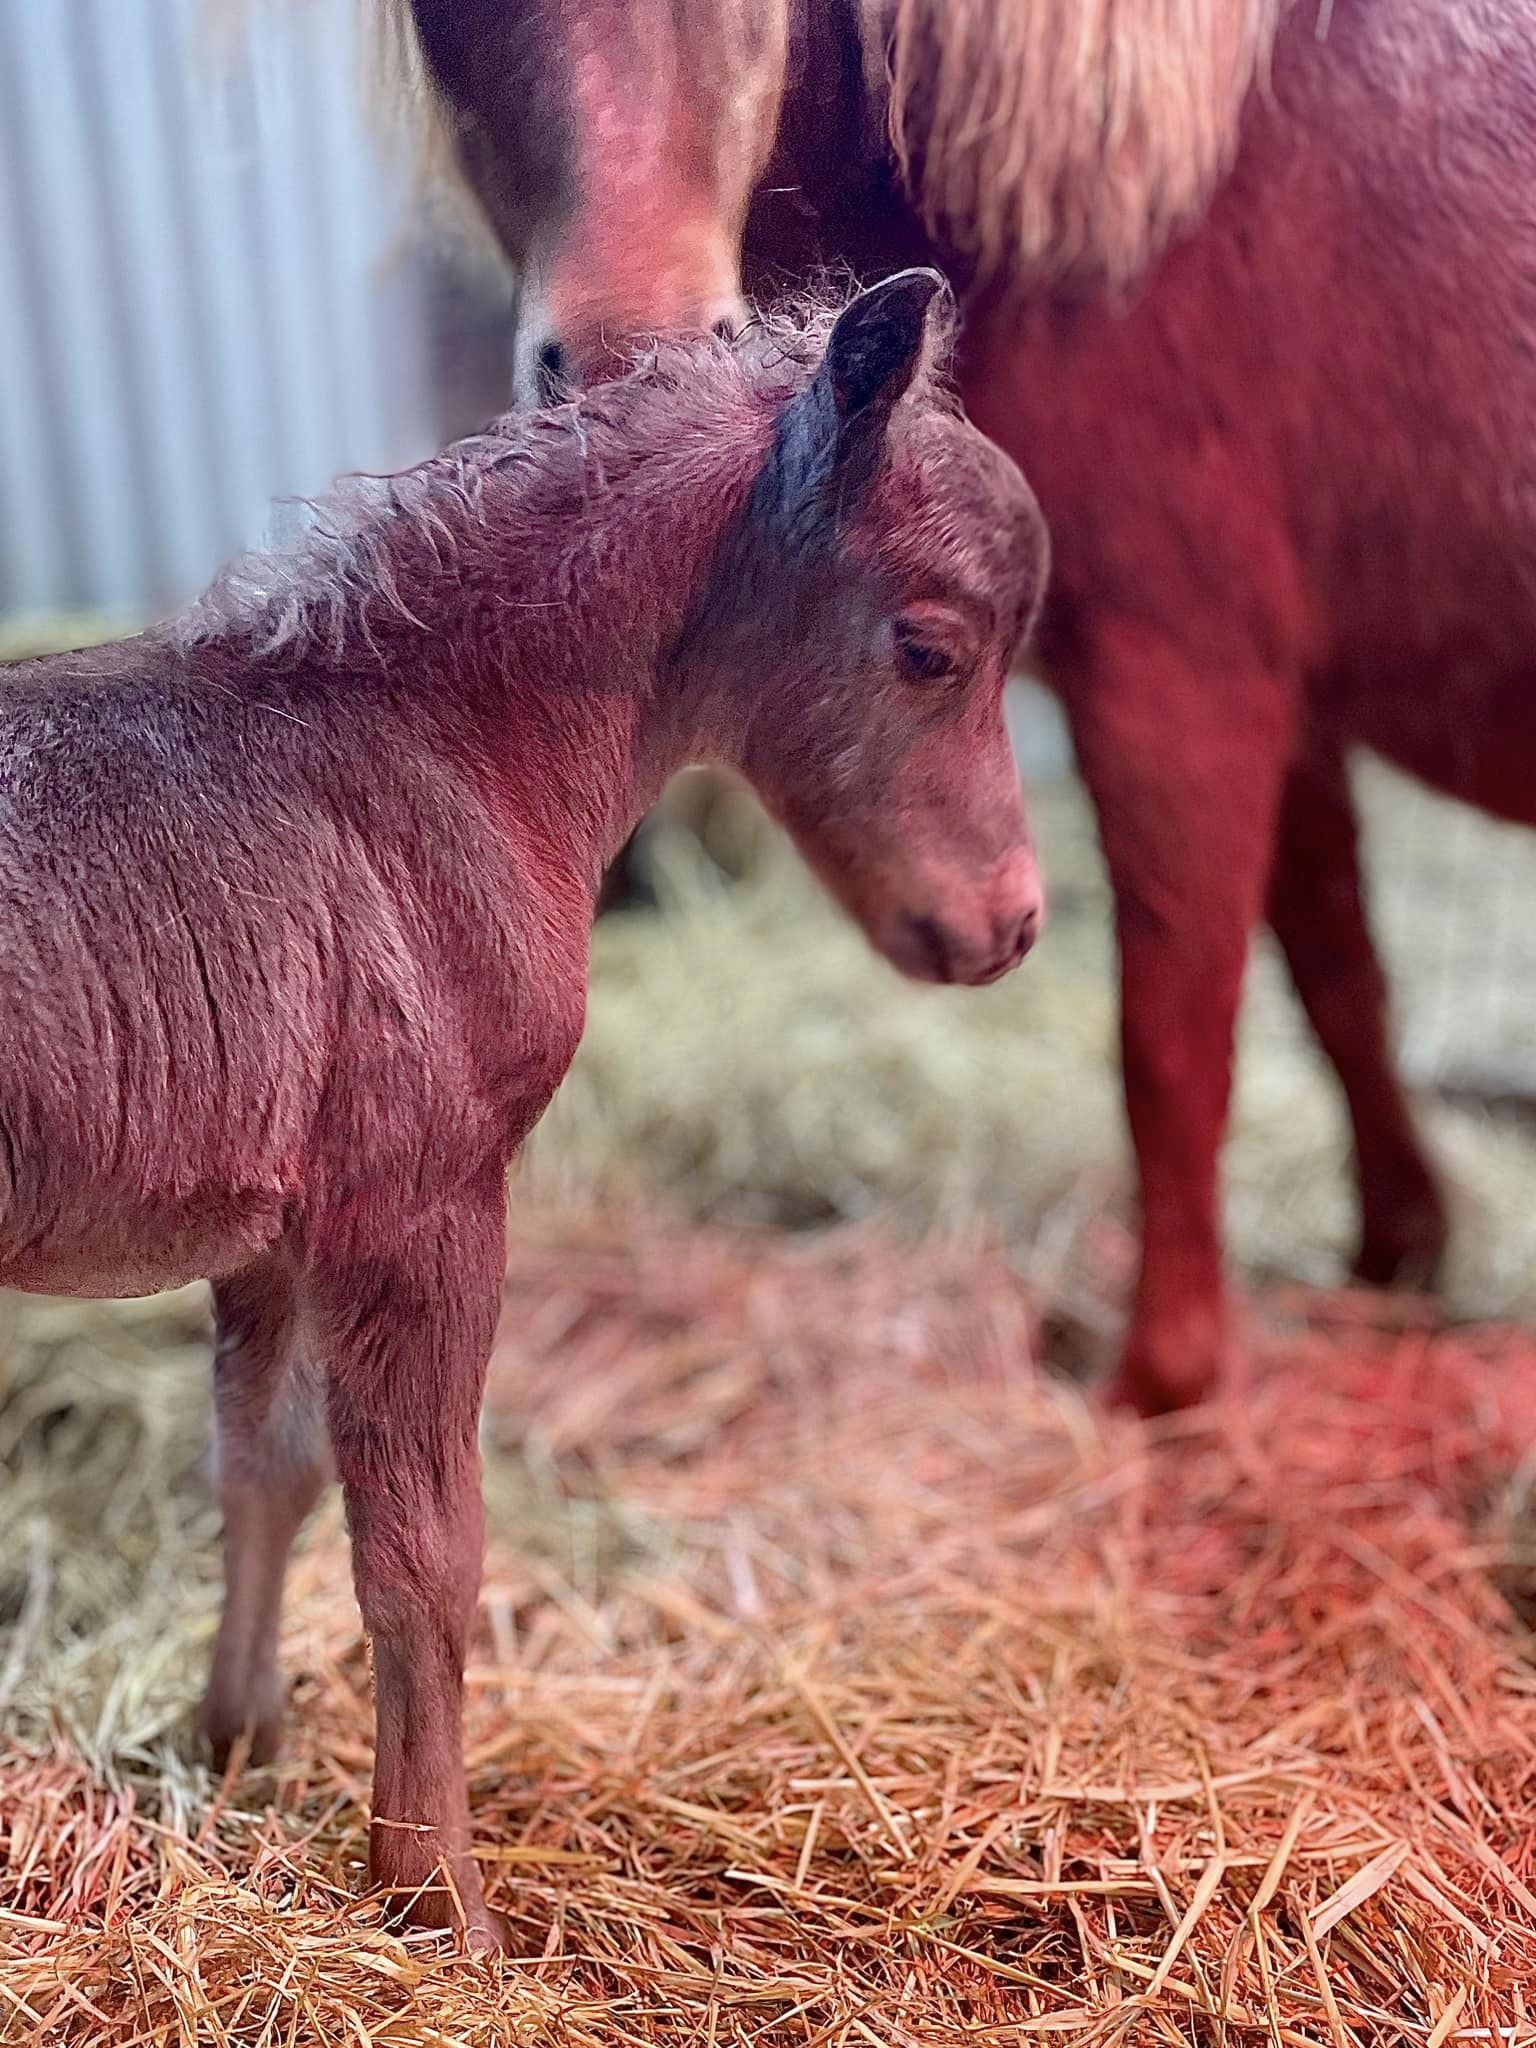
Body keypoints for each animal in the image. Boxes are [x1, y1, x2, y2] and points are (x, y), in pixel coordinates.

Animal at [0, 276, 1047, 1948]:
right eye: (930, 648)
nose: (1008, 924)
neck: (436, 758)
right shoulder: (421, 1208)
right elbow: (424, 1551)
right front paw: (439, 1899)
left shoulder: (279, 1230)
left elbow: (265, 1472)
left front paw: (239, 1746)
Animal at [381, 0, 1536, 1415]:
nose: (632, 365)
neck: (1107, 213)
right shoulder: (1290, 699)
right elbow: (1339, 982)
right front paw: (1393, 1255)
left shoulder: (1180, 687)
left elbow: (1172, 1036)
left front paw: (1162, 1380)